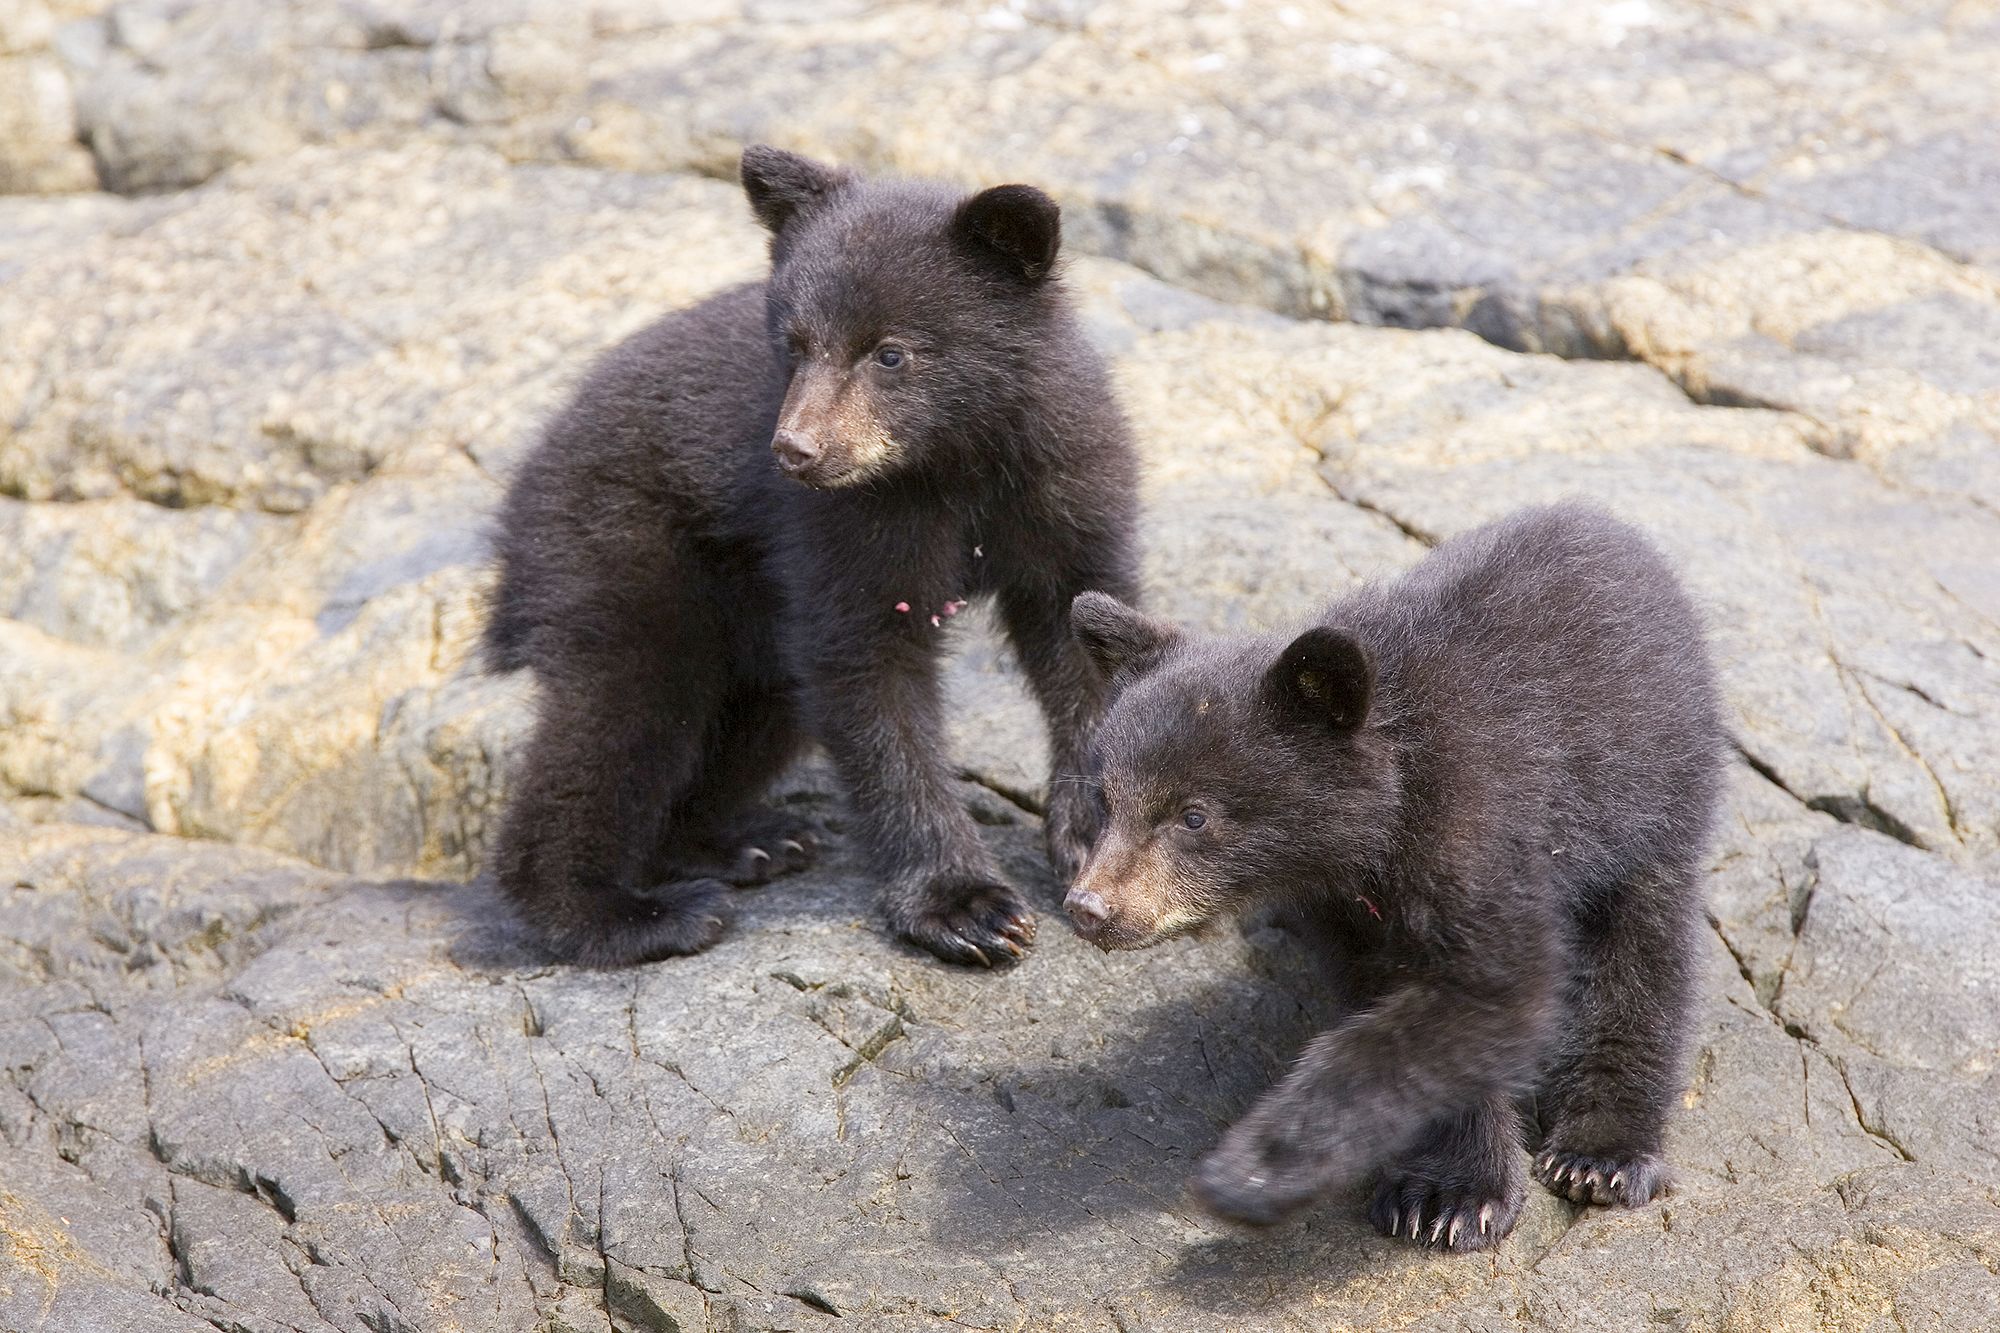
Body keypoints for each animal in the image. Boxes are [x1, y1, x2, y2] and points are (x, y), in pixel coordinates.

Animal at [481, 146, 1140, 969]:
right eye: (794, 344)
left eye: (891, 352)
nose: (796, 449)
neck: (958, 461)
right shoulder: (847, 525)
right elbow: (868, 670)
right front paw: (966, 907)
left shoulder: (1066, 487)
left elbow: (1086, 642)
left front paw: (1090, 837)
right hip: (616, 545)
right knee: (621, 710)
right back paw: (632, 913)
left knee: (751, 709)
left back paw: (745, 841)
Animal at [1062, 501, 1722, 1249]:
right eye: (1104, 799)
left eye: (1193, 815)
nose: (1090, 906)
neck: (1389, 810)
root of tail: (1615, 528)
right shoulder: (1345, 910)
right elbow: (1397, 1004)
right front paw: (1442, 1191)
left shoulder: (1483, 832)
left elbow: (1490, 995)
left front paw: (1262, 1169)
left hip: (1652, 794)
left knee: (1642, 954)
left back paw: (1602, 1153)